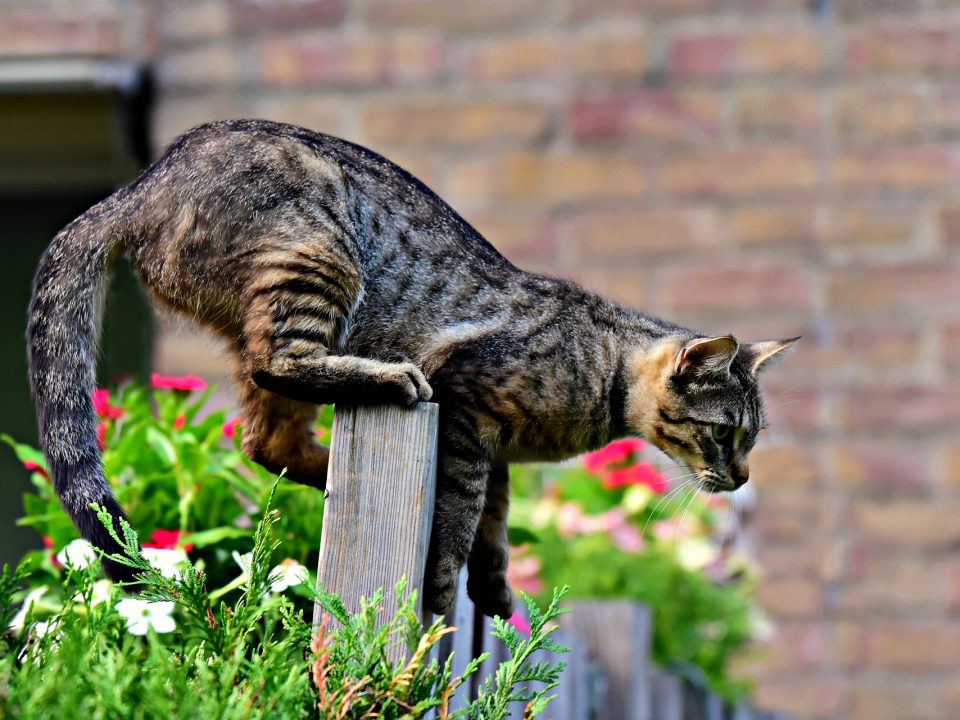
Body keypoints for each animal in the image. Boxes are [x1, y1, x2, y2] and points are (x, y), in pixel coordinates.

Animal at [26, 119, 800, 620]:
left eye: (750, 440)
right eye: (725, 434)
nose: (742, 478)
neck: (601, 370)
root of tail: (137, 187)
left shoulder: (494, 447)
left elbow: (495, 521)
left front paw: (495, 590)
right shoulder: (468, 409)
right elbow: (460, 519)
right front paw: (442, 590)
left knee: (265, 441)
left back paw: (328, 474)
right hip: (317, 257)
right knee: (283, 367)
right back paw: (390, 381)